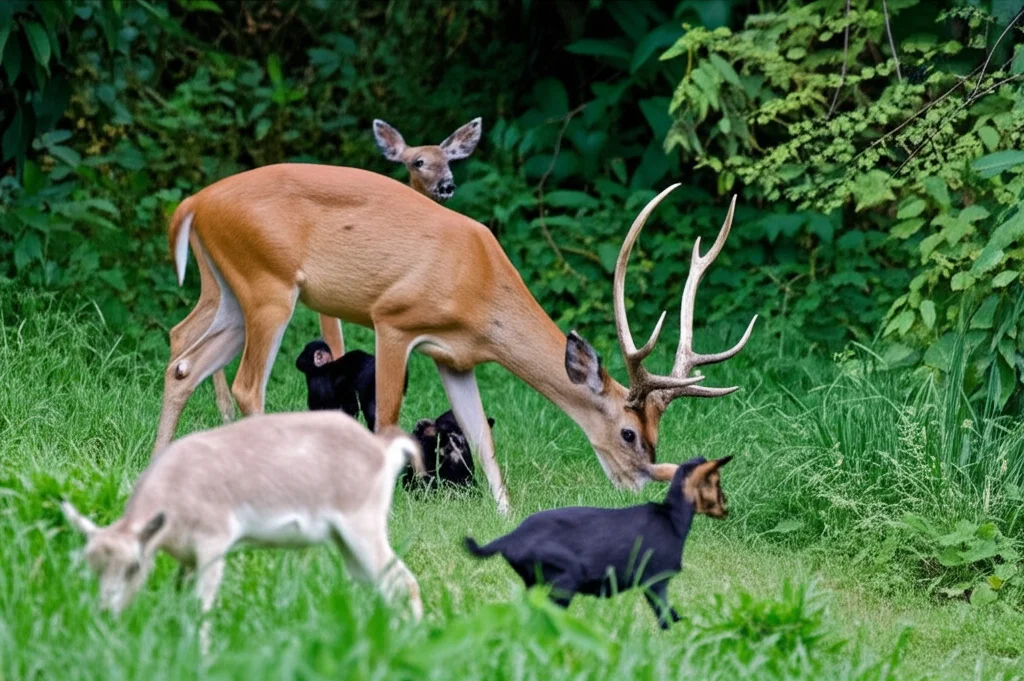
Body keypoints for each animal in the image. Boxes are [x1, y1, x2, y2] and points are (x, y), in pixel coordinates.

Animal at [61, 411, 425, 650]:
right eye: (91, 564)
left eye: (133, 566)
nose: (105, 615)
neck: (178, 482)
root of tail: (383, 450)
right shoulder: (186, 561)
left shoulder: (213, 547)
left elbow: (202, 606)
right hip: (347, 546)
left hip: (362, 530)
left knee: (403, 582)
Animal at [155, 167, 756, 516]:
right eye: (630, 433)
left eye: (655, 434)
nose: (641, 481)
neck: (478, 284)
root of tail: (193, 204)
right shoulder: (393, 320)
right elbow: (387, 419)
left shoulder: (457, 358)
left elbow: (481, 434)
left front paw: (506, 514)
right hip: (268, 285)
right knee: (246, 385)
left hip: (231, 291)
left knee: (183, 360)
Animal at [464, 455, 732, 629]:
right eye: (716, 482)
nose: (726, 507)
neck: (671, 516)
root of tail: (511, 537)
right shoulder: (655, 582)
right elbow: (668, 619)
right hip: (563, 581)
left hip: (536, 583)